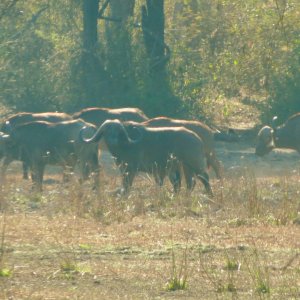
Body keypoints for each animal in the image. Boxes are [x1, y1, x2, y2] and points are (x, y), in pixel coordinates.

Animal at [79, 119, 211, 197]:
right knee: (189, 183)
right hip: (185, 166)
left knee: (204, 177)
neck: (125, 145)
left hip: (195, 163)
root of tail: (197, 138)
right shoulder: (123, 169)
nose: (112, 140)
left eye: (117, 131)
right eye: (107, 130)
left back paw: (210, 194)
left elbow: (128, 184)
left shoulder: (131, 169)